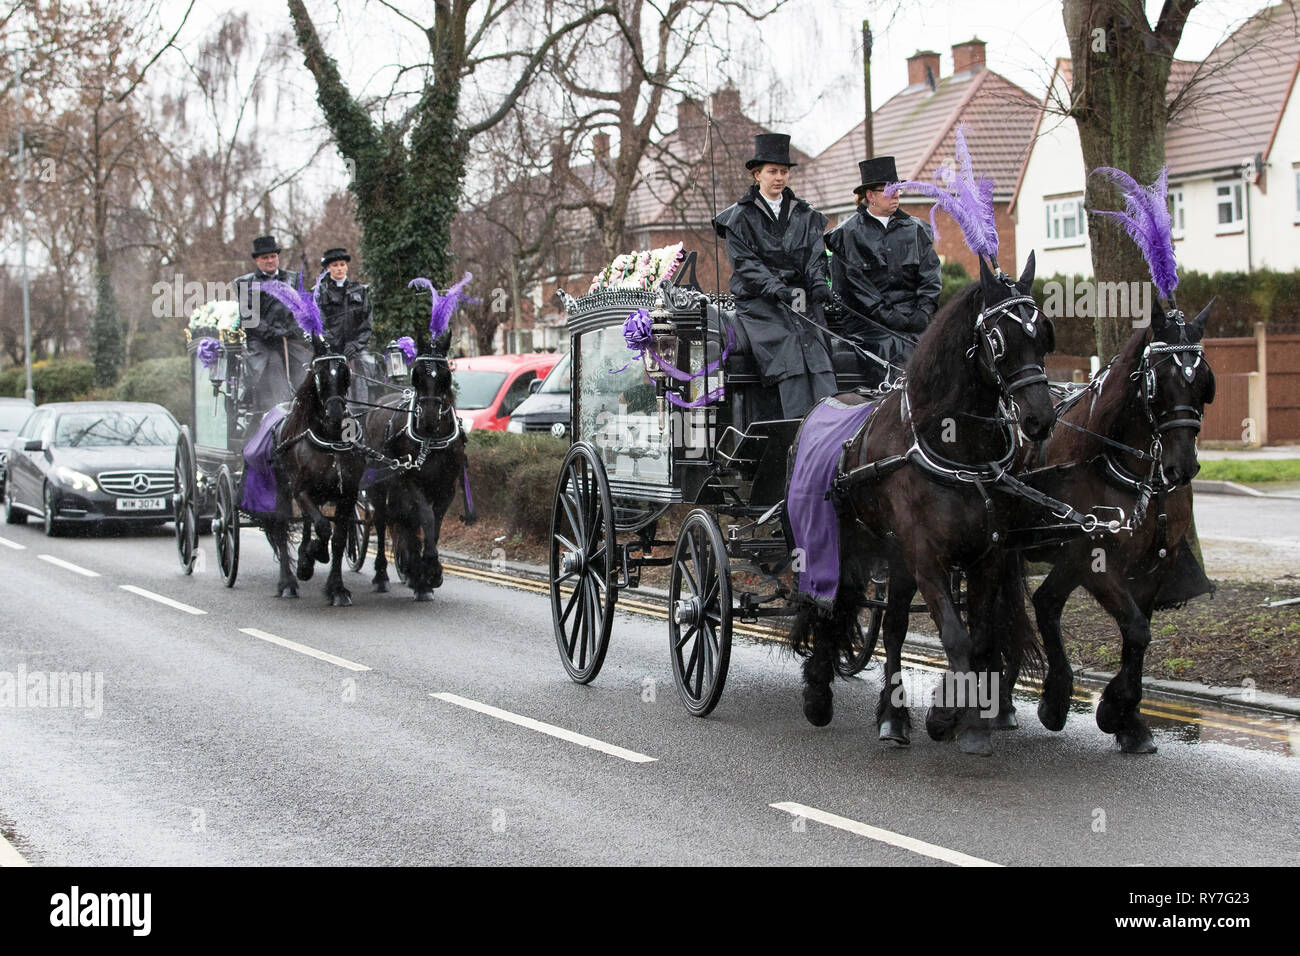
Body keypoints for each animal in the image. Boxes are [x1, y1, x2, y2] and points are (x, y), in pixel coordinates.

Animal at [263, 335, 366, 606]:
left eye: (345, 373)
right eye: (319, 375)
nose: (336, 416)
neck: (330, 440)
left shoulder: (348, 495)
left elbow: (338, 539)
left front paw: (337, 588)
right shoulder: (301, 491)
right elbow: (323, 527)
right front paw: (312, 555)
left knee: (309, 523)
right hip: (283, 488)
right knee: (282, 528)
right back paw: (288, 581)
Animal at [364, 329, 470, 598]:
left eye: (445, 375)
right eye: (417, 375)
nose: (430, 420)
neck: (431, 441)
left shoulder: (446, 488)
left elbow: (436, 523)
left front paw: (425, 573)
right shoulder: (410, 482)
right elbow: (426, 518)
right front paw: (429, 568)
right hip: (378, 486)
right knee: (381, 521)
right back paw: (381, 575)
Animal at [790, 254, 1055, 754]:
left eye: (1043, 334)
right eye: (997, 339)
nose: (1040, 419)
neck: (957, 450)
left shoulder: (986, 556)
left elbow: (979, 637)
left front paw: (950, 713)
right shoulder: (927, 555)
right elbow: (955, 637)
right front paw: (964, 723)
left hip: (892, 554)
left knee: (889, 626)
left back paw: (892, 716)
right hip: (836, 541)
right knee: (828, 605)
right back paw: (820, 694)